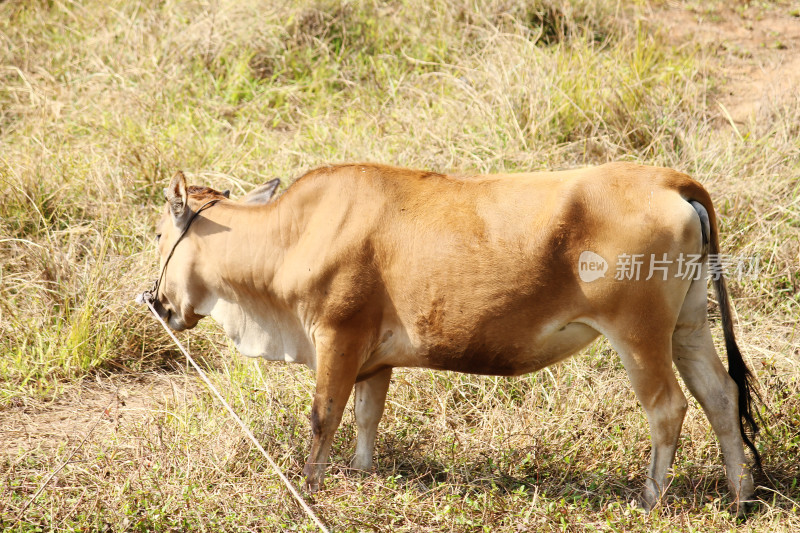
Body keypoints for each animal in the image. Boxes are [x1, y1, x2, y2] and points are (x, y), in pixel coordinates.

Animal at [145, 162, 764, 512]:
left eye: (155, 234)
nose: (157, 301)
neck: (295, 234)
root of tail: (670, 179)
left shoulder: (337, 336)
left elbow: (325, 416)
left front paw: (310, 488)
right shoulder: (374, 357)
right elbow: (367, 415)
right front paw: (362, 473)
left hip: (638, 334)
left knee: (668, 407)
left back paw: (651, 498)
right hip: (687, 324)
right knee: (721, 395)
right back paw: (740, 495)